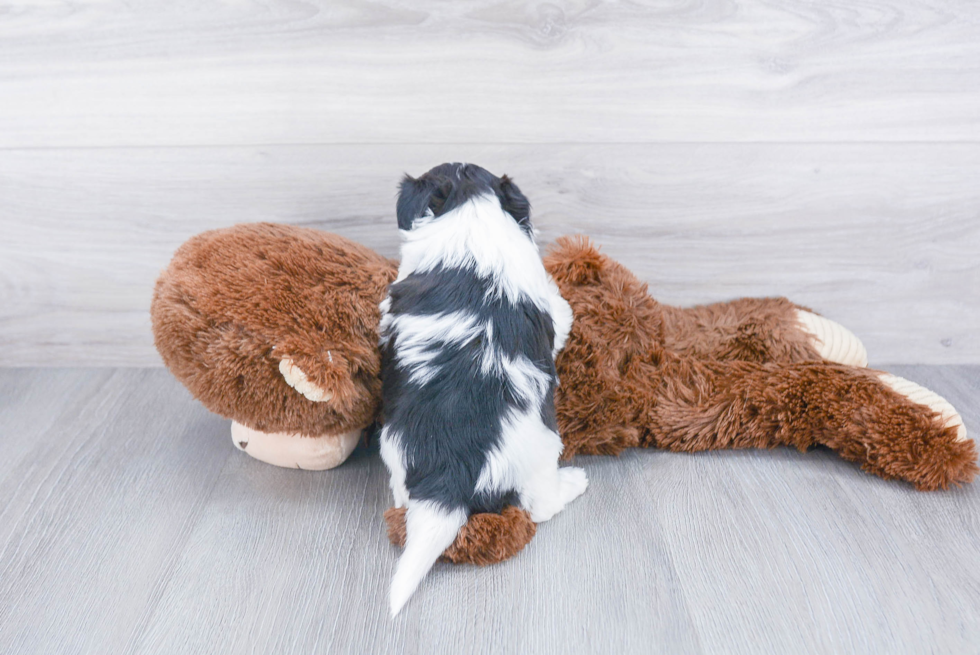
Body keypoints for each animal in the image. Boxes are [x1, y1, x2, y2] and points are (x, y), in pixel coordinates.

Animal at [378, 163, 584, 616]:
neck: (470, 214)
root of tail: (450, 471)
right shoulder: (552, 310)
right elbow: (562, 311)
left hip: (393, 447)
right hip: (543, 446)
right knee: (539, 506)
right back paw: (573, 483)